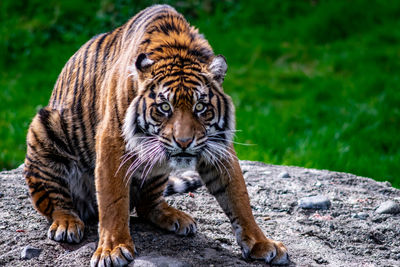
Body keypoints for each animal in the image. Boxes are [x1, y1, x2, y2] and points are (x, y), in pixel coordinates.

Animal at [23, 4, 290, 267]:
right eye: (164, 107)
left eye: (200, 107)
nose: (184, 142)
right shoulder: (112, 140)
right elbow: (113, 200)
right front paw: (112, 249)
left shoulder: (217, 145)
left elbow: (238, 196)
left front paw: (262, 244)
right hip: (43, 128)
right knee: (57, 202)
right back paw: (67, 224)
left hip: (156, 171)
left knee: (147, 205)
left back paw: (175, 217)